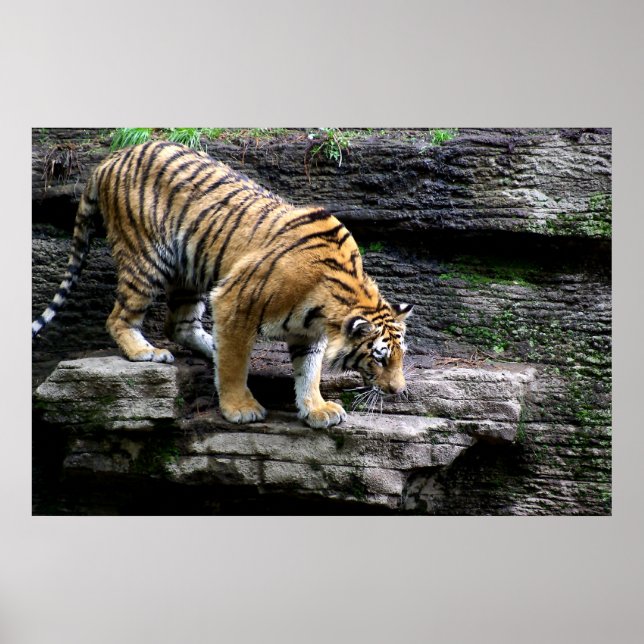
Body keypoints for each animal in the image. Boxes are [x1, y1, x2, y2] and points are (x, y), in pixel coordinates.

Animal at [32, 140, 413, 429]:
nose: (398, 391)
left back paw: (205, 346)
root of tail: (112, 157)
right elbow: (234, 363)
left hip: (190, 271)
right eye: (379, 358)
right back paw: (145, 351)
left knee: (179, 324)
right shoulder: (234, 300)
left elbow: (309, 371)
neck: (325, 310)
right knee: (119, 317)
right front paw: (239, 408)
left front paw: (317, 409)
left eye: (400, 356)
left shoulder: (309, 334)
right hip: (147, 258)